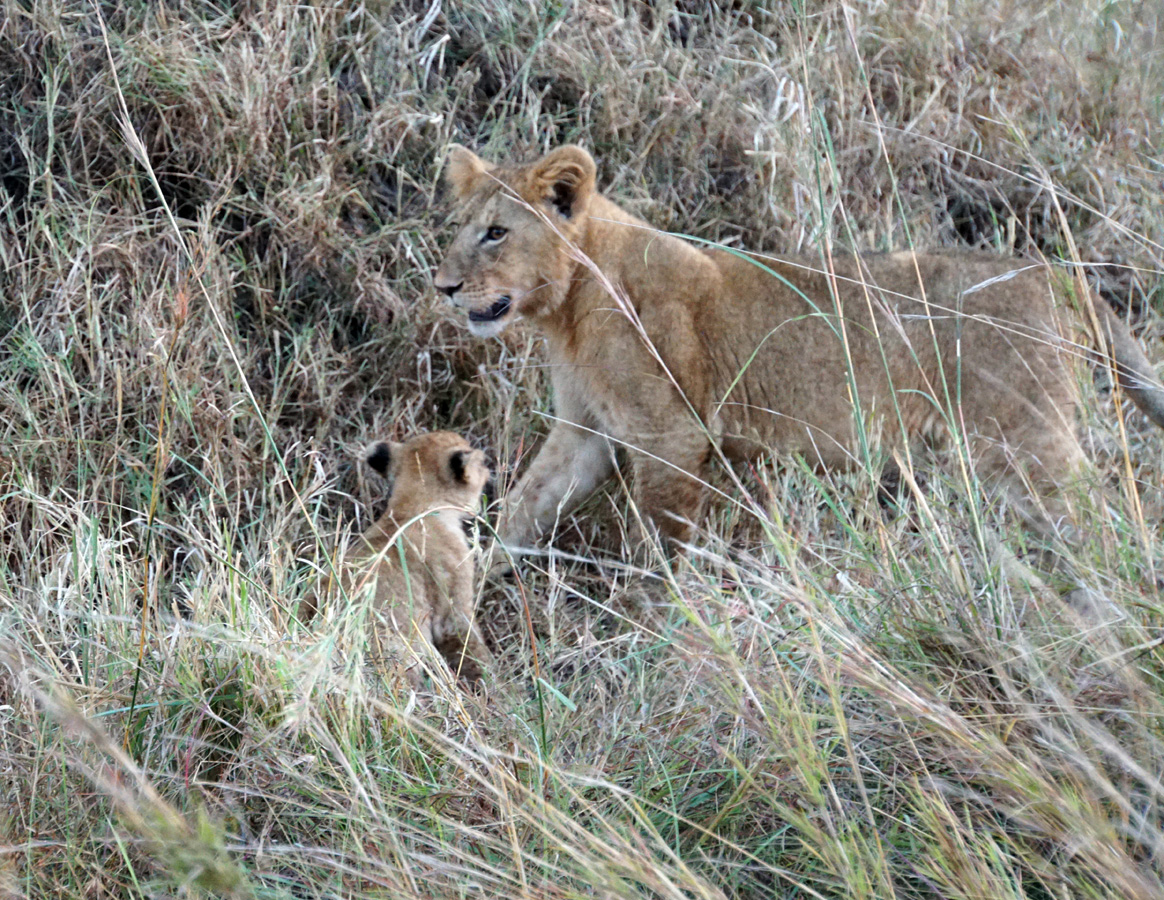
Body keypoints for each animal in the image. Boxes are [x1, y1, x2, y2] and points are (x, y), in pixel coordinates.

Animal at [433, 144, 1164, 558]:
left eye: (496, 233)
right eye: (457, 228)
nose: (442, 287)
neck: (571, 307)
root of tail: (1057, 275)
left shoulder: (672, 434)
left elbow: (661, 548)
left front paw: (659, 631)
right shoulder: (585, 429)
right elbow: (525, 508)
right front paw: (472, 592)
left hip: (1025, 438)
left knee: (1097, 516)